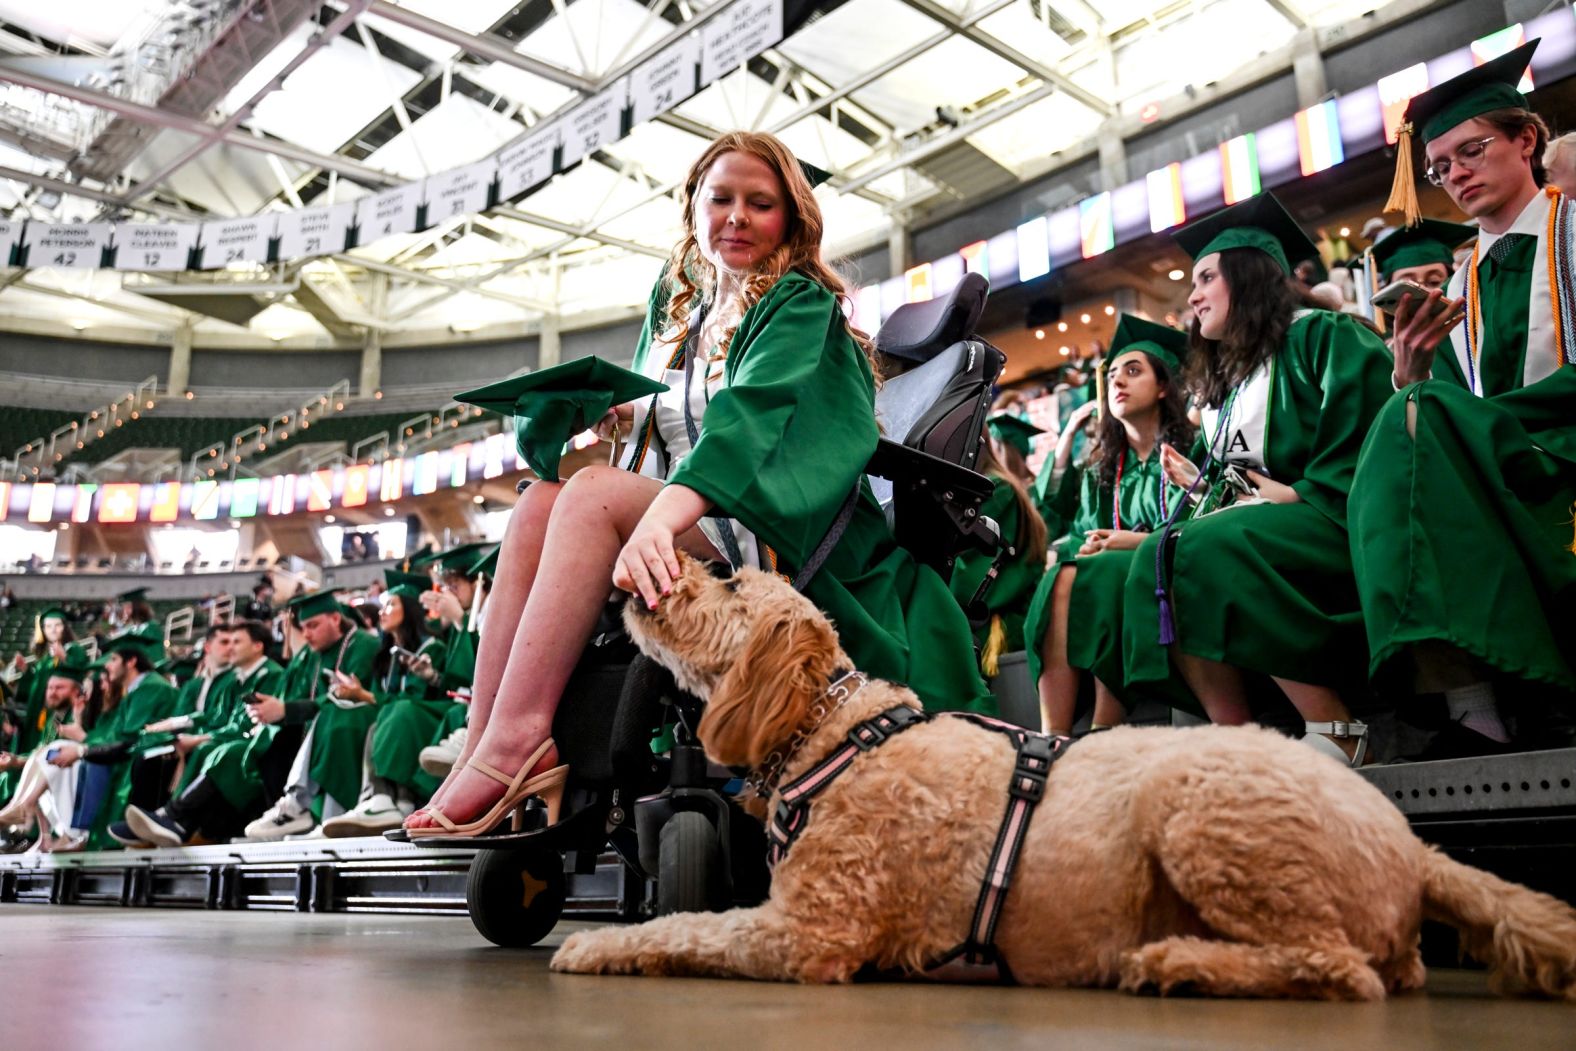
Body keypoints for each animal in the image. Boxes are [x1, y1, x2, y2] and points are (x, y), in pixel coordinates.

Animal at [551, 554, 1576, 1002]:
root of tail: (1411, 839)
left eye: (727, 579)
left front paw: (595, 945)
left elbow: (683, 925)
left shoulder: (811, 934)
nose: (638, 577)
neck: (838, 730)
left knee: (1339, 969)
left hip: (1200, 812)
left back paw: (1176, 964)